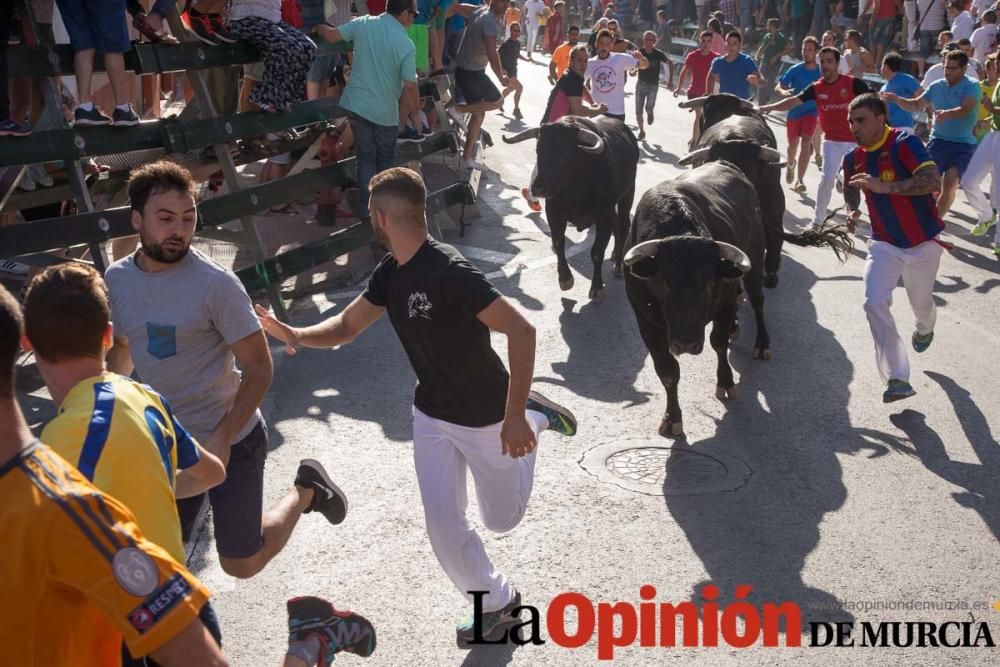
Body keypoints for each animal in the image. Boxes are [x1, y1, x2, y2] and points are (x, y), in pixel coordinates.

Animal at [500, 117, 640, 300]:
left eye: (565, 154)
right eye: (538, 149)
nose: (537, 188)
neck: (575, 188)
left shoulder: (605, 216)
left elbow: (597, 252)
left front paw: (597, 287)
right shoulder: (554, 213)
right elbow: (558, 243)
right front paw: (565, 279)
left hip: (628, 194)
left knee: (623, 227)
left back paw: (618, 266)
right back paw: (615, 254)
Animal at [628, 162, 768, 440]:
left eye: (710, 283)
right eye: (664, 281)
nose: (686, 343)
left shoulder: (726, 300)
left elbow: (718, 343)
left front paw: (725, 381)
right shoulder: (644, 320)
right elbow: (667, 371)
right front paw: (672, 418)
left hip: (756, 259)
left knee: (758, 301)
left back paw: (762, 344)